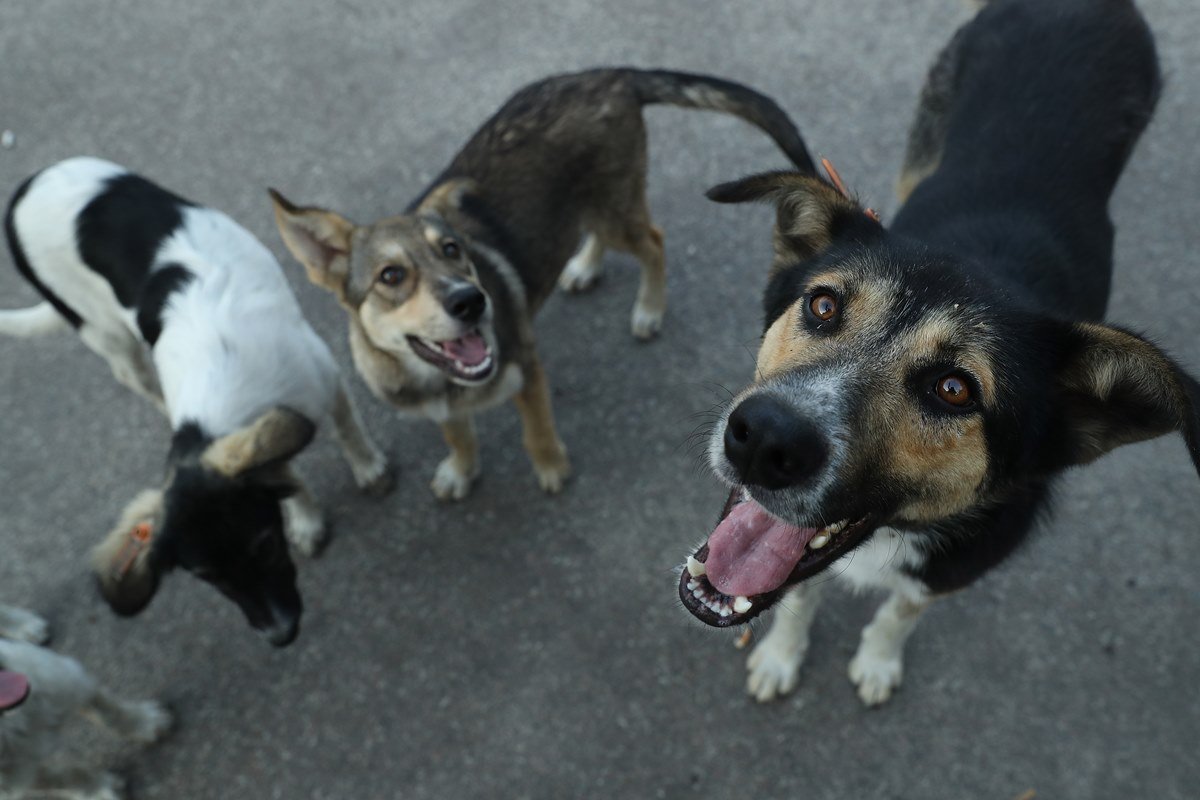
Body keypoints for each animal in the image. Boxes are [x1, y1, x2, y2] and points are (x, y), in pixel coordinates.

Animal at [1, 159, 393, 647]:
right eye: (208, 577)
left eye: (265, 546)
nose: (280, 635)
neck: (218, 412)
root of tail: (23, 191)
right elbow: (286, 471)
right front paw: (304, 515)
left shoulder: (322, 374)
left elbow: (344, 428)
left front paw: (368, 469)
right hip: (106, 338)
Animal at [681, 0, 1195, 700]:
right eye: (823, 306)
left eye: (955, 389)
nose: (763, 439)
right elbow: (798, 595)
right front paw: (783, 654)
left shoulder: (952, 570)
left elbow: (900, 610)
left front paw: (876, 660)